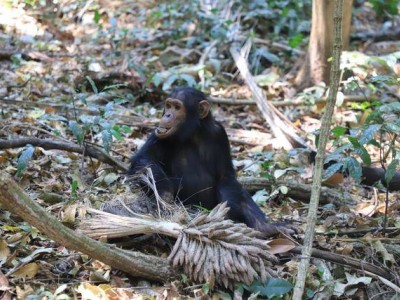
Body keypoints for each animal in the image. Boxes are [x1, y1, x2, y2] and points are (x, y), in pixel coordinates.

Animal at [128, 86, 284, 237]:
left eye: (177, 107)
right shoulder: (158, 133)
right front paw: (164, 192)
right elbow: (144, 158)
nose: (167, 115)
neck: (192, 133)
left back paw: (265, 227)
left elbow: (225, 176)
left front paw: (231, 211)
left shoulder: (219, 133)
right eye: (169, 105)